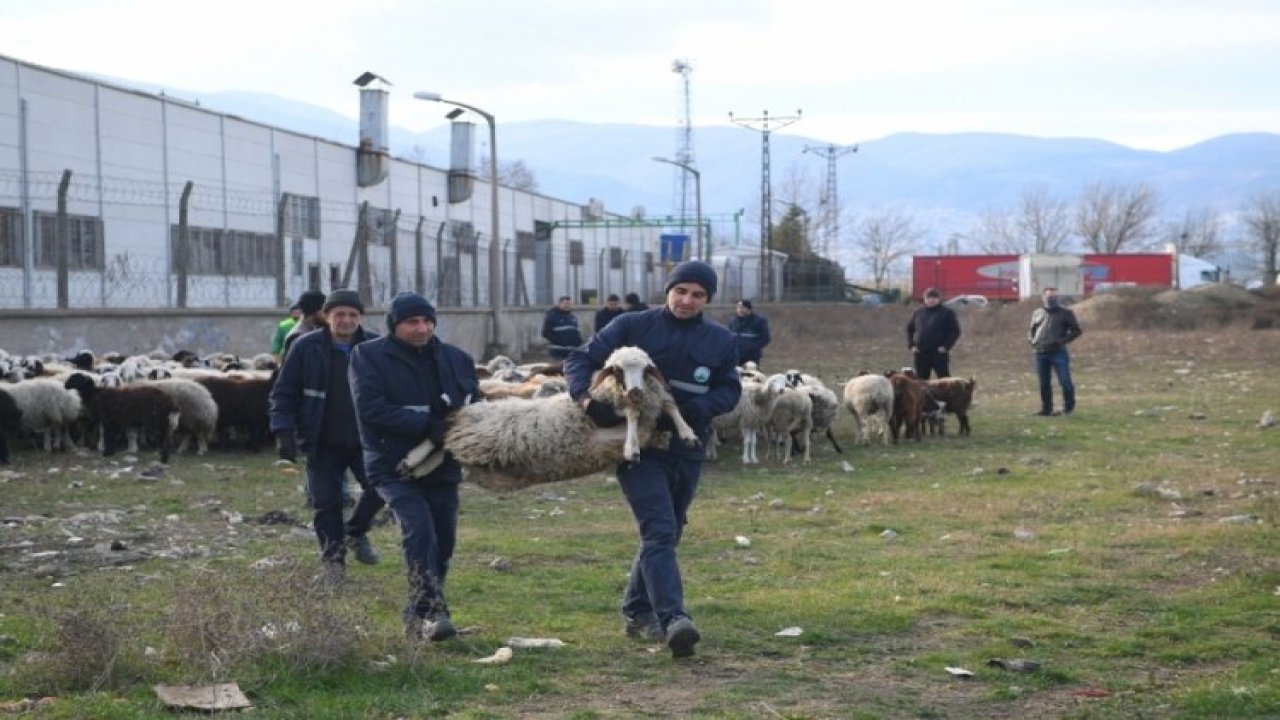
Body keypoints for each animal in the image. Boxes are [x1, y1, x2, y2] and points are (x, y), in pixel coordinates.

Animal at [401, 345, 696, 489]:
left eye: (647, 369)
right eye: (616, 370)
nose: (635, 391)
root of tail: (473, 406)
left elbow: (669, 404)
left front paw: (687, 434)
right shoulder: (610, 410)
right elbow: (634, 414)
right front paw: (631, 449)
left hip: (471, 441)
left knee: (445, 447)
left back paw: (414, 469)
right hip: (475, 428)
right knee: (440, 434)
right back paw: (411, 460)